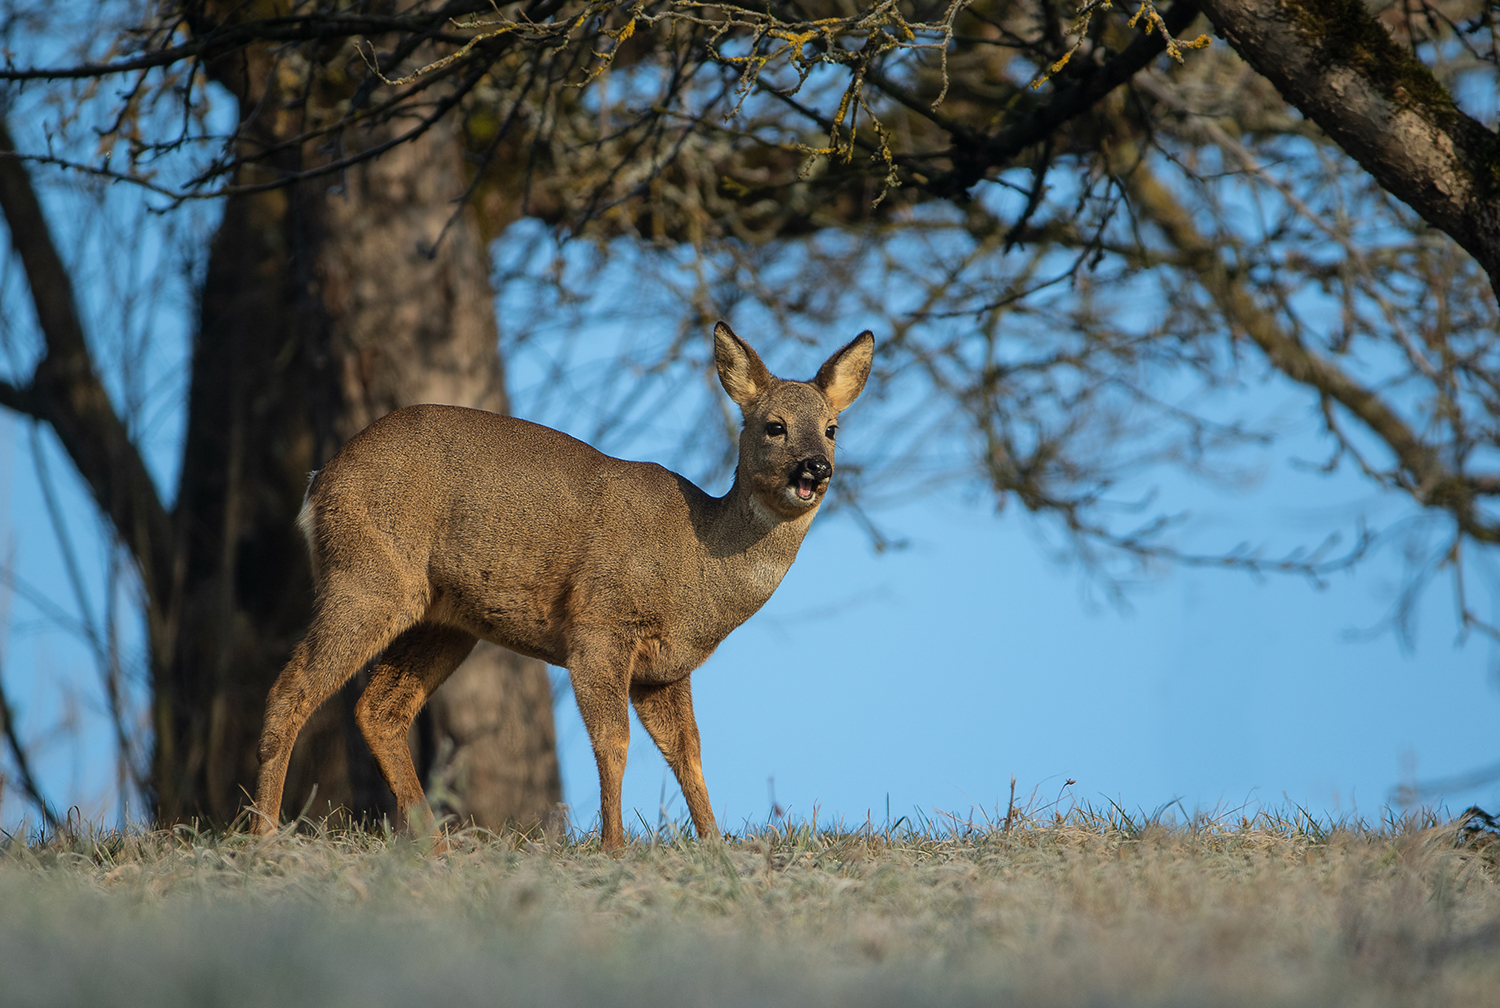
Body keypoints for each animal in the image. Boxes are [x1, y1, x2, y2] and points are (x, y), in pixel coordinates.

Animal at [252, 322, 876, 852]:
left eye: (831, 428)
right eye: (774, 426)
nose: (816, 467)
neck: (696, 566)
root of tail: (320, 482)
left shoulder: (663, 671)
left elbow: (689, 754)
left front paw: (714, 846)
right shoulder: (600, 625)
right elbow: (614, 742)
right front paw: (614, 847)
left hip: (444, 618)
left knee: (379, 709)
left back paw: (437, 847)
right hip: (368, 576)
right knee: (292, 687)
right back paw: (263, 835)